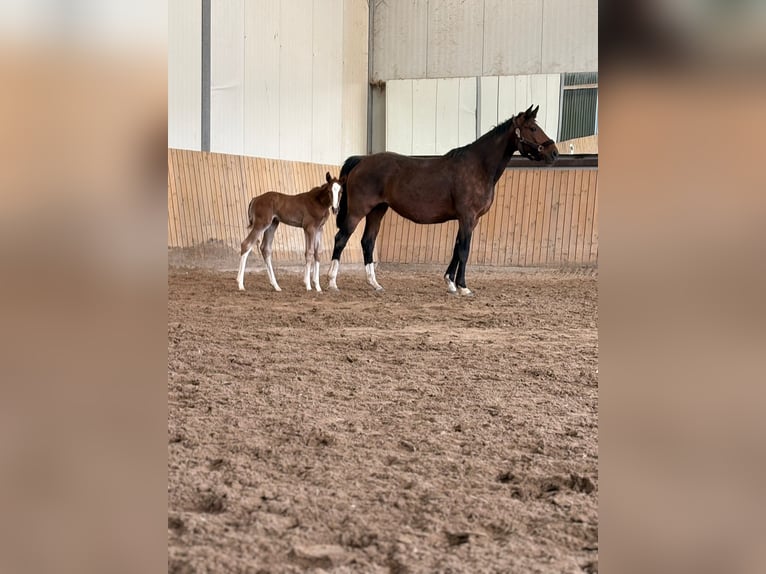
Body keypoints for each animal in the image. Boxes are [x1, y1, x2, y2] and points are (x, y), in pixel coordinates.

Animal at [328, 105, 559, 294]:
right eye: (533, 128)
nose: (554, 153)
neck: (478, 166)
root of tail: (362, 160)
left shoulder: (470, 220)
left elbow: (457, 248)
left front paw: (450, 282)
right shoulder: (467, 217)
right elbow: (464, 250)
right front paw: (463, 286)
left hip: (378, 210)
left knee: (367, 242)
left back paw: (375, 284)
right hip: (358, 211)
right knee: (341, 239)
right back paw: (332, 282)